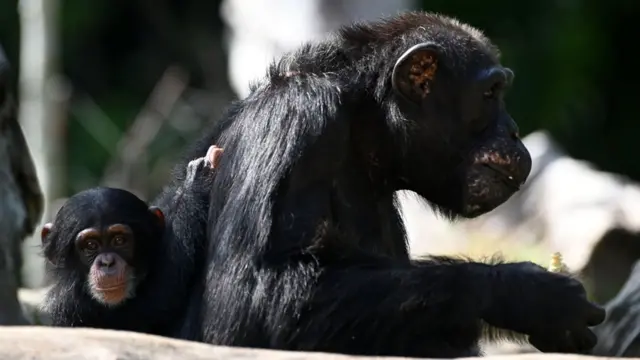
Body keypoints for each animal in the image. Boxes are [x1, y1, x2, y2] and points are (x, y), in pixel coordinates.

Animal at [40, 145, 222, 336]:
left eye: (119, 240)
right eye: (90, 245)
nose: (107, 262)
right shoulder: (78, 306)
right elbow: (159, 295)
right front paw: (195, 182)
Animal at [175, 10, 604, 358]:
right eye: (490, 93)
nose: (513, 130)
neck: (365, 122)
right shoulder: (294, 119)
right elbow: (250, 299)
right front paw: (529, 294)